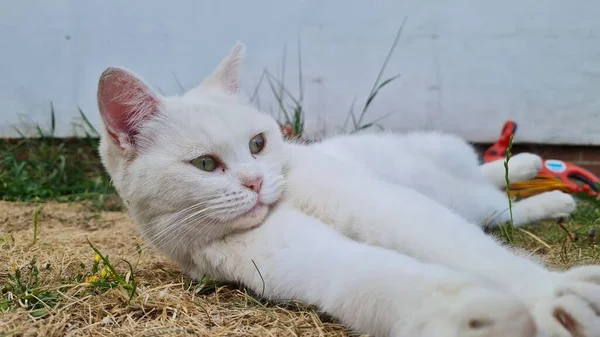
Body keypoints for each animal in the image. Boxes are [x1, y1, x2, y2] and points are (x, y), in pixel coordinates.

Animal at [310, 131, 576, 228]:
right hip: (479, 207)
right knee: (513, 212)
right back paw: (559, 201)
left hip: (445, 146)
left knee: (482, 171)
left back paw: (529, 163)